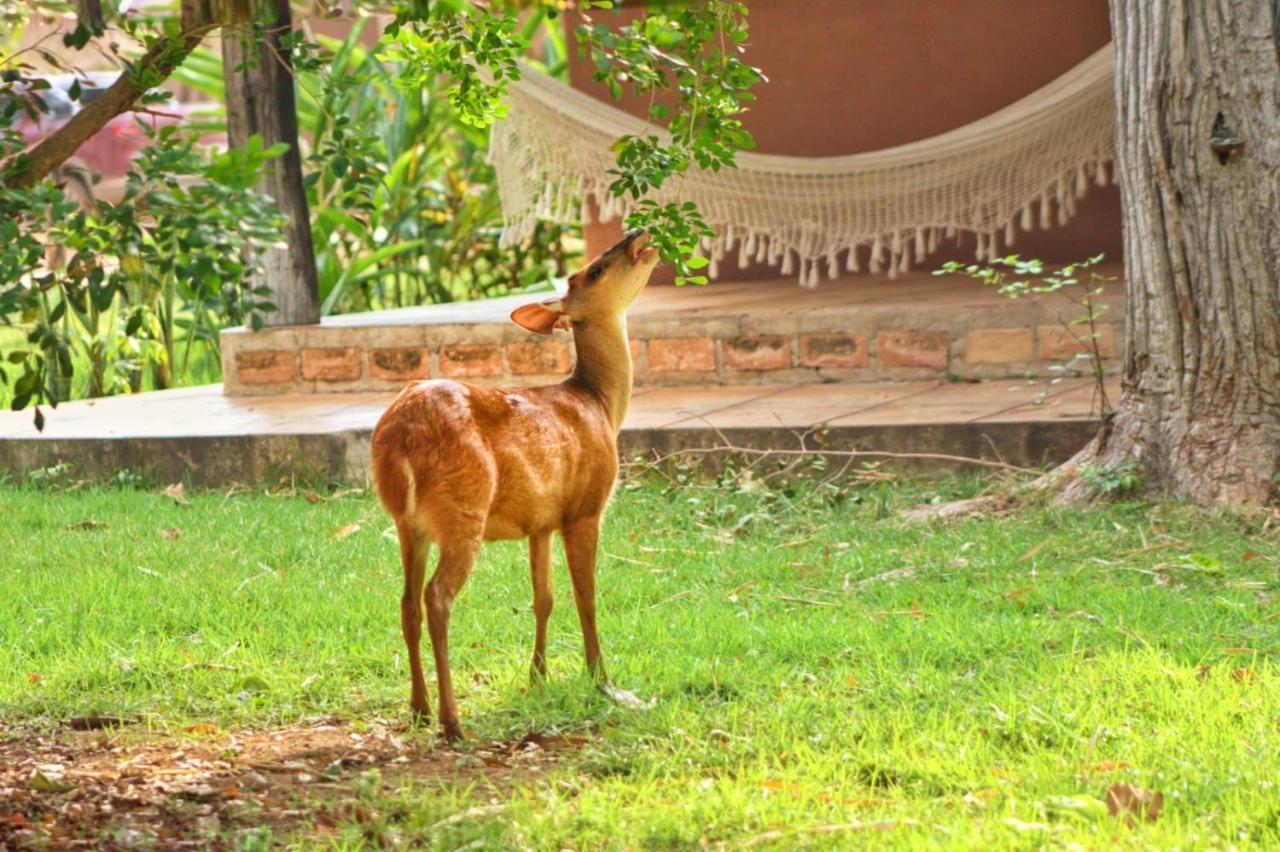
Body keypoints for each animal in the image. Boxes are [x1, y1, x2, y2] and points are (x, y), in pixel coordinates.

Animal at [366, 225, 655, 736]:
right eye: (595, 270)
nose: (639, 233)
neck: (599, 403)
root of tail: (399, 439)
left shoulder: (539, 520)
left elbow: (544, 597)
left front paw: (537, 678)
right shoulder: (585, 507)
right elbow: (586, 595)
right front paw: (603, 681)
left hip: (407, 523)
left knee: (406, 601)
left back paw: (419, 708)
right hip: (463, 508)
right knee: (437, 597)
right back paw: (452, 721)